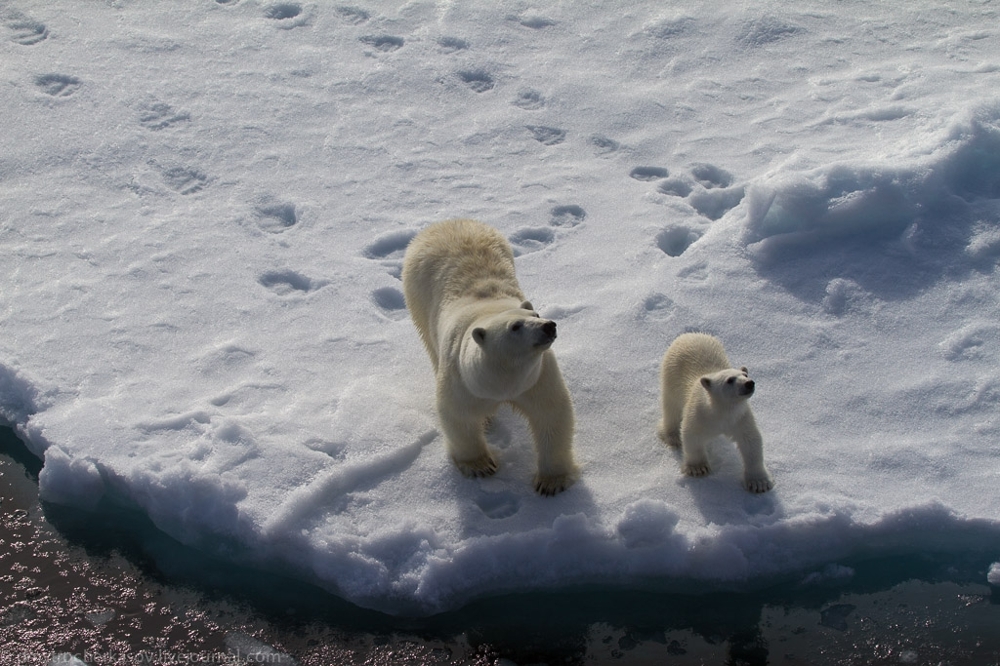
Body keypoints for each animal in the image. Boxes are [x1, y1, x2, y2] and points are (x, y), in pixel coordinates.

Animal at [402, 218, 580, 492]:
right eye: (515, 326)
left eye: (536, 315)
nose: (549, 326)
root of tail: (446, 223)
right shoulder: (462, 379)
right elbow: (458, 415)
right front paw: (480, 466)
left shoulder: (536, 377)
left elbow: (551, 414)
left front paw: (551, 482)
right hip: (417, 294)